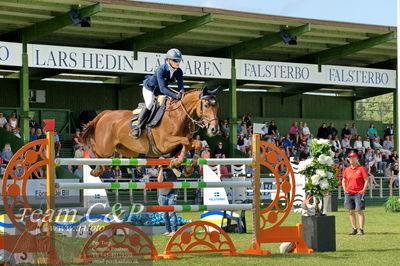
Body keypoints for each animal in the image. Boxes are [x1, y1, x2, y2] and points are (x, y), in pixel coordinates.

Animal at [81, 87, 219, 177]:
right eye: (206, 105)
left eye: (217, 106)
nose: (214, 129)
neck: (178, 115)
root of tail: (105, 113)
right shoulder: (164, 144)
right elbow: (185, 141)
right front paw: (177, 162)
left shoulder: (180, 143)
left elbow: (196, 143)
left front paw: (188, 169)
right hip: (105, 147)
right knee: (95, 148)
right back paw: (96, 167)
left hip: (124, 149)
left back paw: (99, 169)